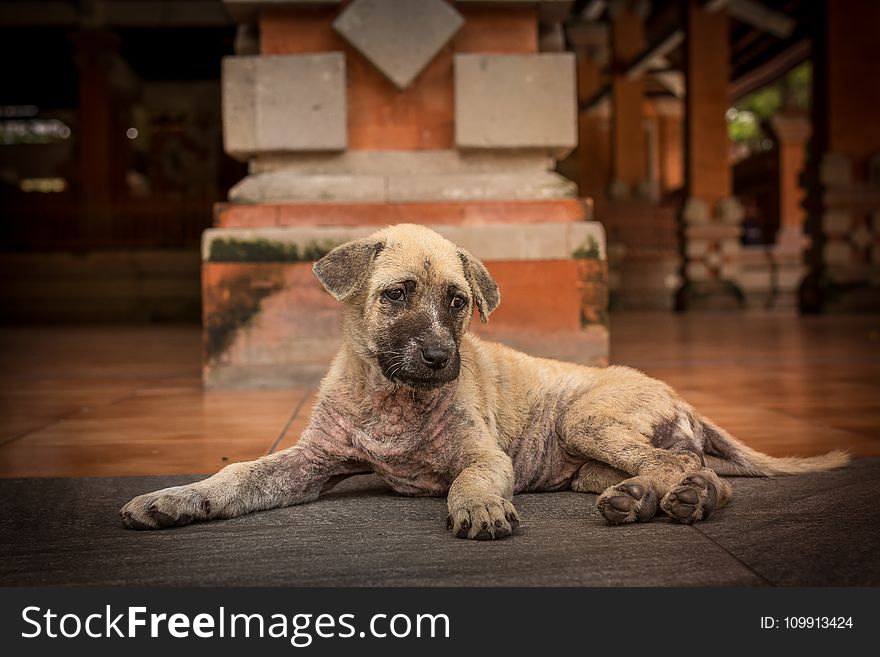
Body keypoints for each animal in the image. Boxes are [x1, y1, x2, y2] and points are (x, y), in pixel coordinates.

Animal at [120, 224, 848, 540]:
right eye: (397, 294)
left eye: (458, 302)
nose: (442, 358)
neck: (391, 399)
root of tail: (679, 396)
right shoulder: (309, 461)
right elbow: (239, 474)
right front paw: (178, 498)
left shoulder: (484, 454)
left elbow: (469, 480)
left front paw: (478, 508)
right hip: (586, 461)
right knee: (665, 468)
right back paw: (640, 500)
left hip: (587, 419)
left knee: (693, 469)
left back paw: (689, 499)